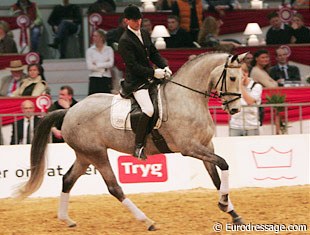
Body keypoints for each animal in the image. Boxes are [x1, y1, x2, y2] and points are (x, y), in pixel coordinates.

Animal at [16, 52, 247, 230]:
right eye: (232, 78)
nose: (235, 109)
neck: (187, 99)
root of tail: (70, 111)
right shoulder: (190, 148)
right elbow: (224, 164)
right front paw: (224, 204)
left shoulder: (206, 146)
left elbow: (216, 178)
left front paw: (232, 212)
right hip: (97, 154)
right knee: (114, 188)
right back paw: (147, 221)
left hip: (84, 155)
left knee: (67, 179)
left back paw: (67, 219)